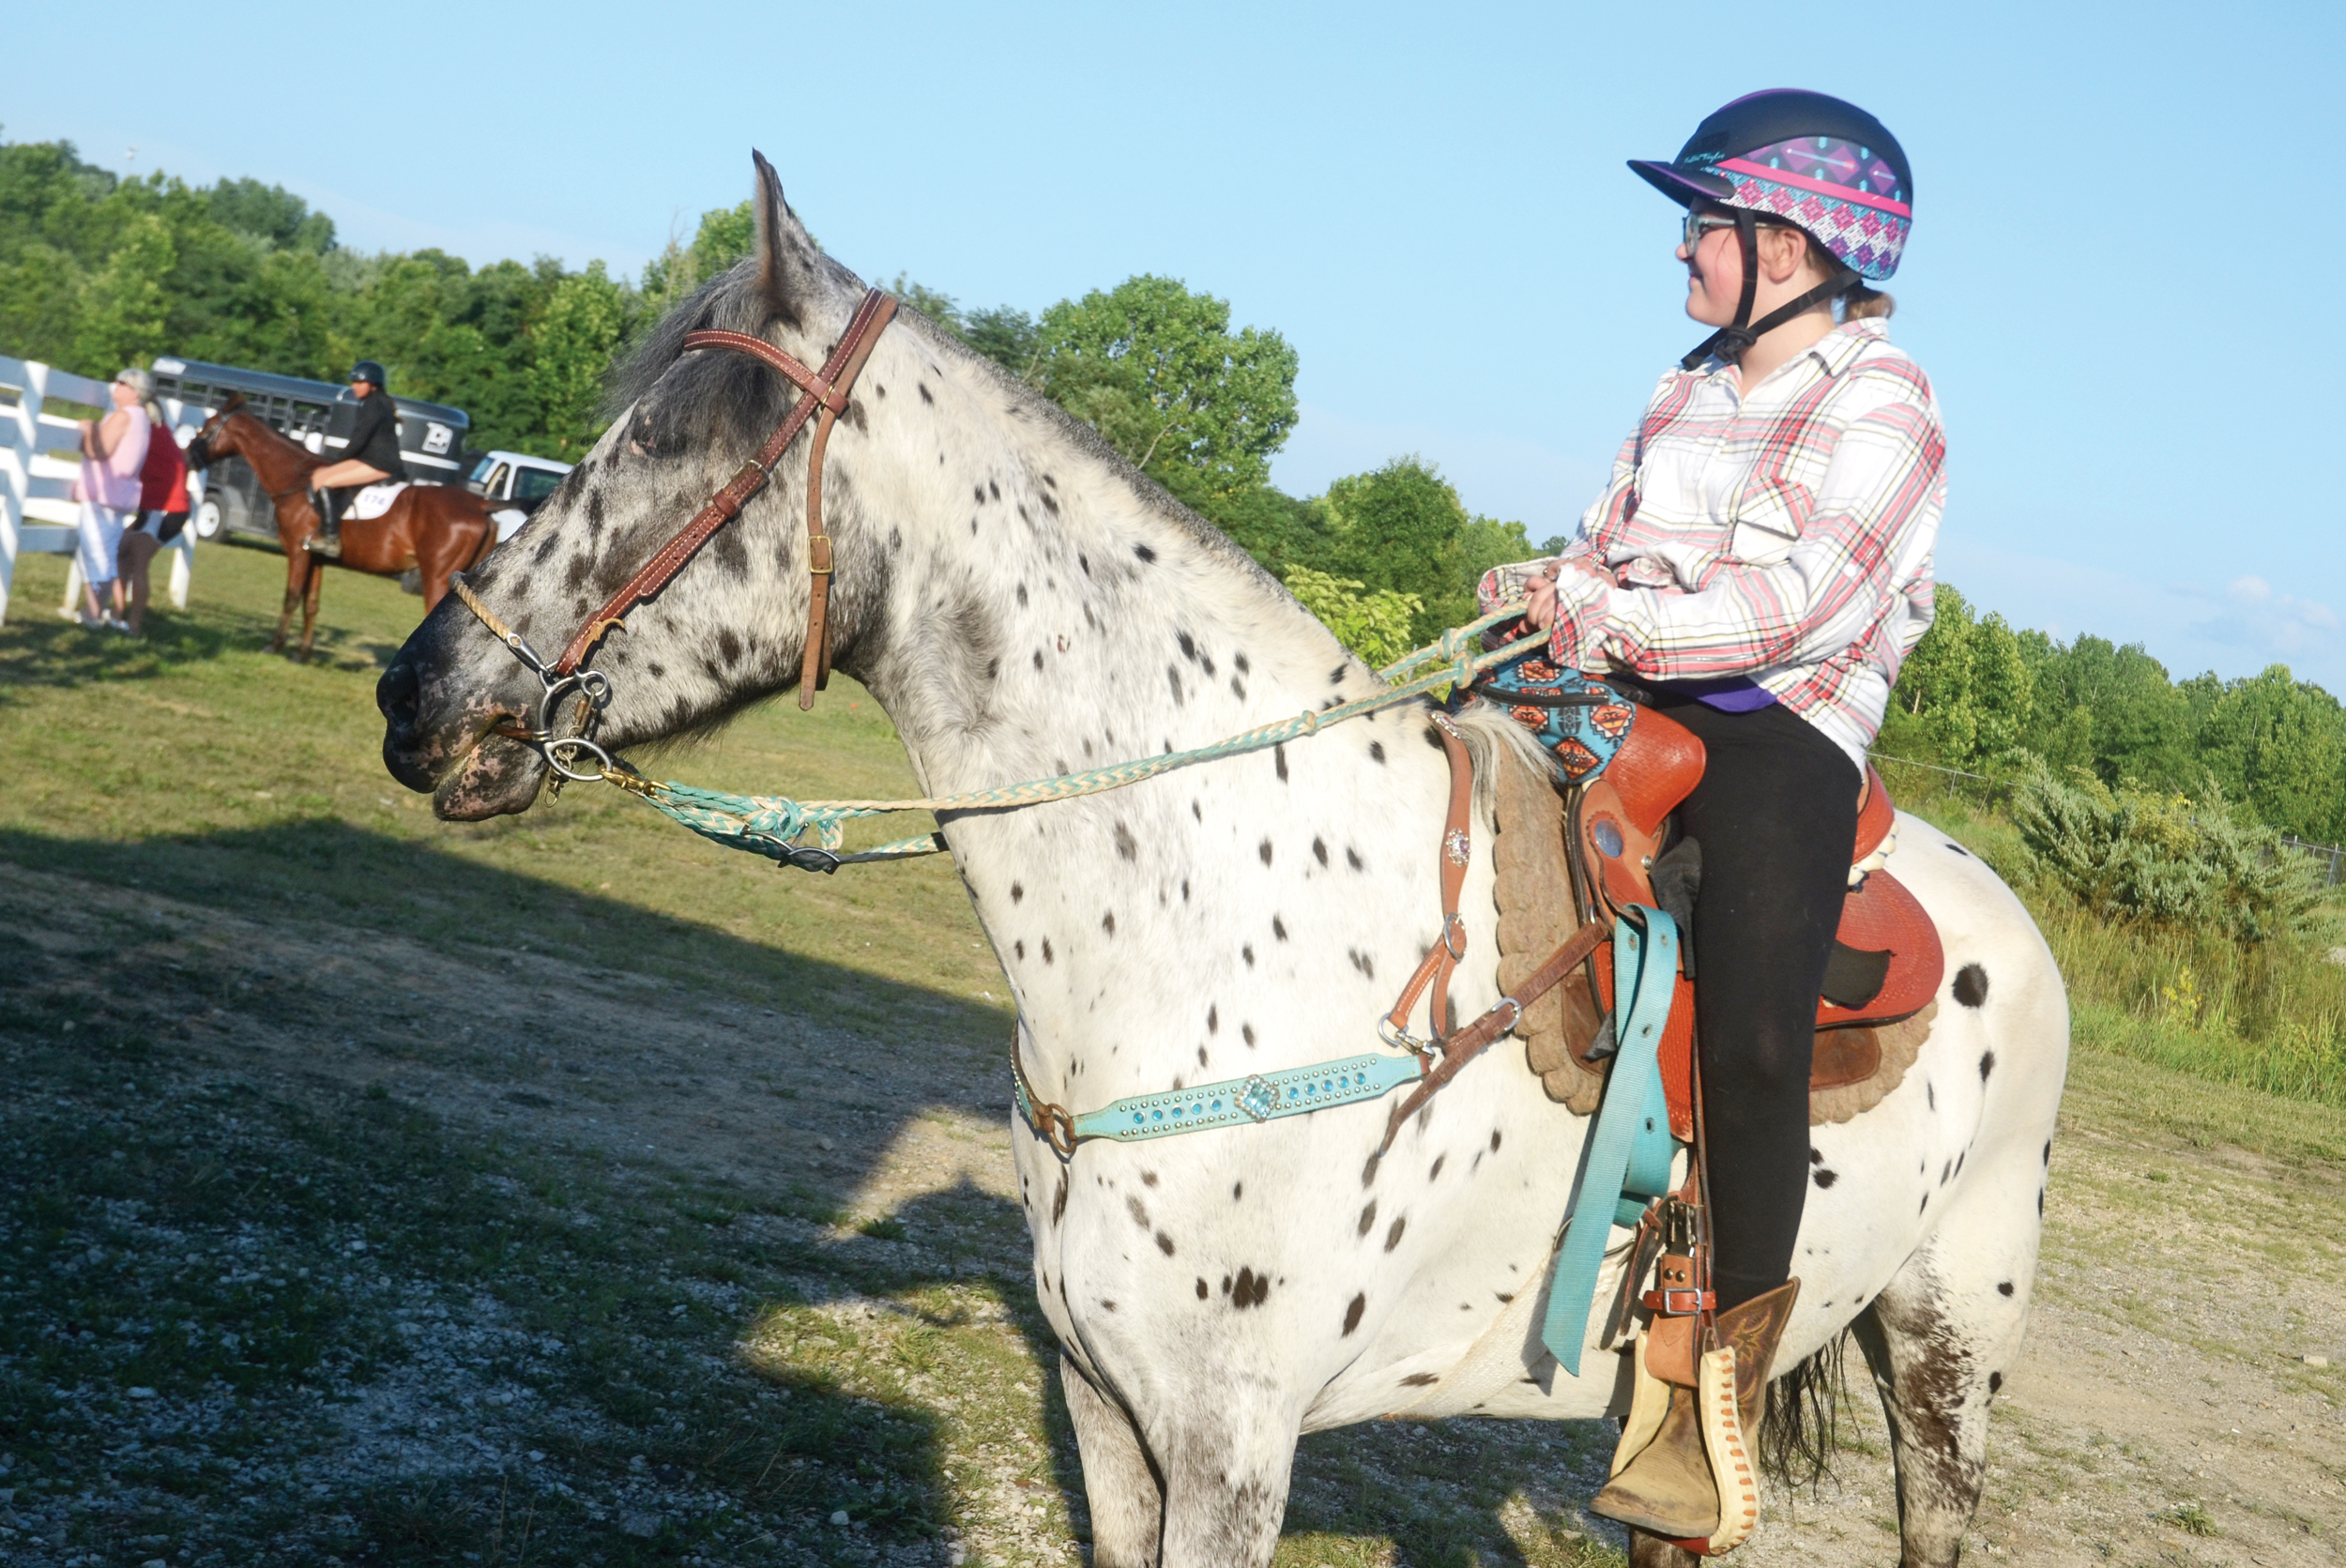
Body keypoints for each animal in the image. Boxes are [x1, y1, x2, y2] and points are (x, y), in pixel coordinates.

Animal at [186, 393, 500, 661]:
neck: (295, 481)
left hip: (437, 576)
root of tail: (481, 504)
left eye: (209, 426)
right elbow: (311, 603)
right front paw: (302, 653)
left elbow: (291, 597)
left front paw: (274, 646)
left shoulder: (298, 553)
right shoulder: (315, 557)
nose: (188, 456)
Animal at [376, 154, 2069, 1568]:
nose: (418, 694)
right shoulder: (1108, 1411)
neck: (1229, 935)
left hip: (1945, 1356)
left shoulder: (1233, 1446)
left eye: (666, 442)